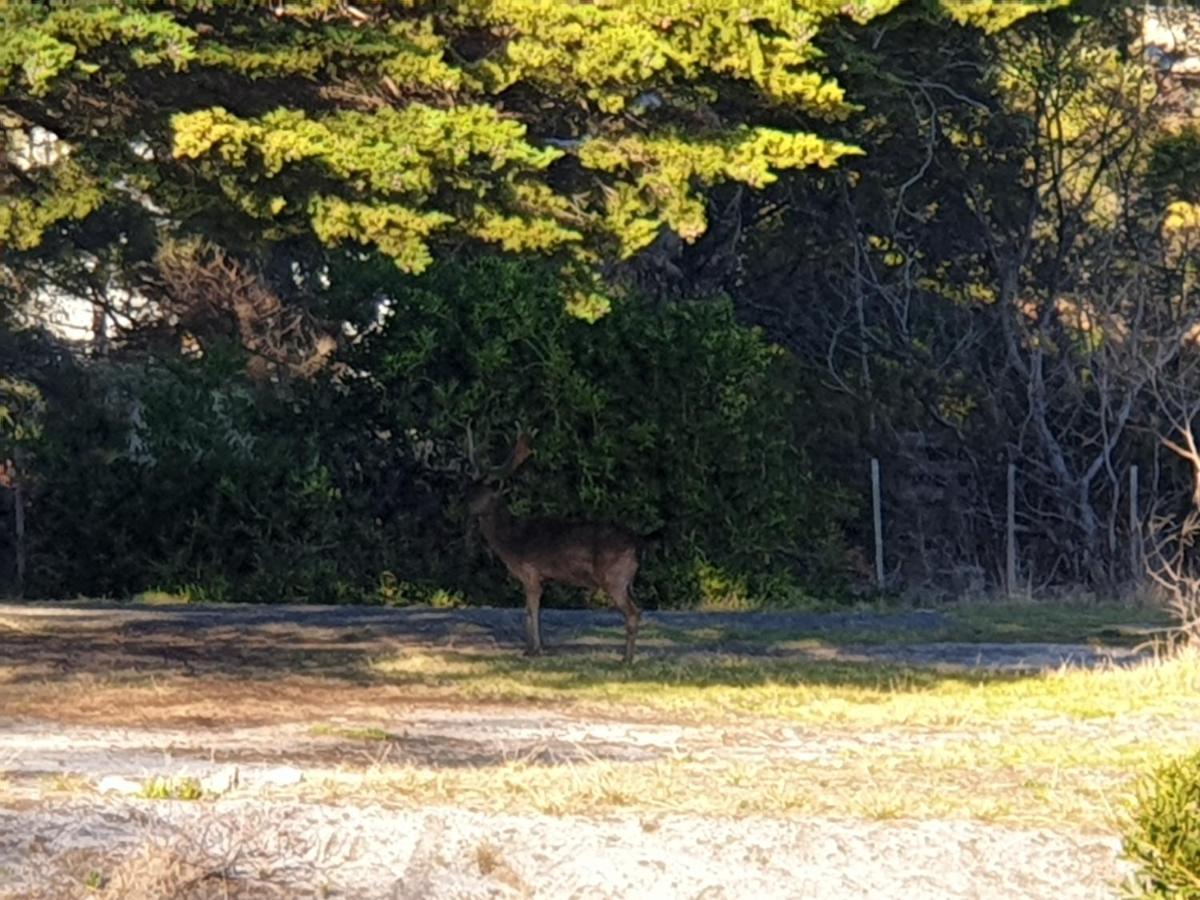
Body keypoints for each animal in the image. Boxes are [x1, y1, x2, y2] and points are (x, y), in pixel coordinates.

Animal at [468, 434, 657, 667]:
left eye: (481, 493)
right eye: (469, 488)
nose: (464, 506)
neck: (511, 541)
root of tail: (639, 541)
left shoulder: (531, 572)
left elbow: (531, 611)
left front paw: (534, 650)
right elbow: (531, 611)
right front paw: (531, 649)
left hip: (615, 577)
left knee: (633, 613)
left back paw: (626, 660)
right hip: (626, 580)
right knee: (637, 610)